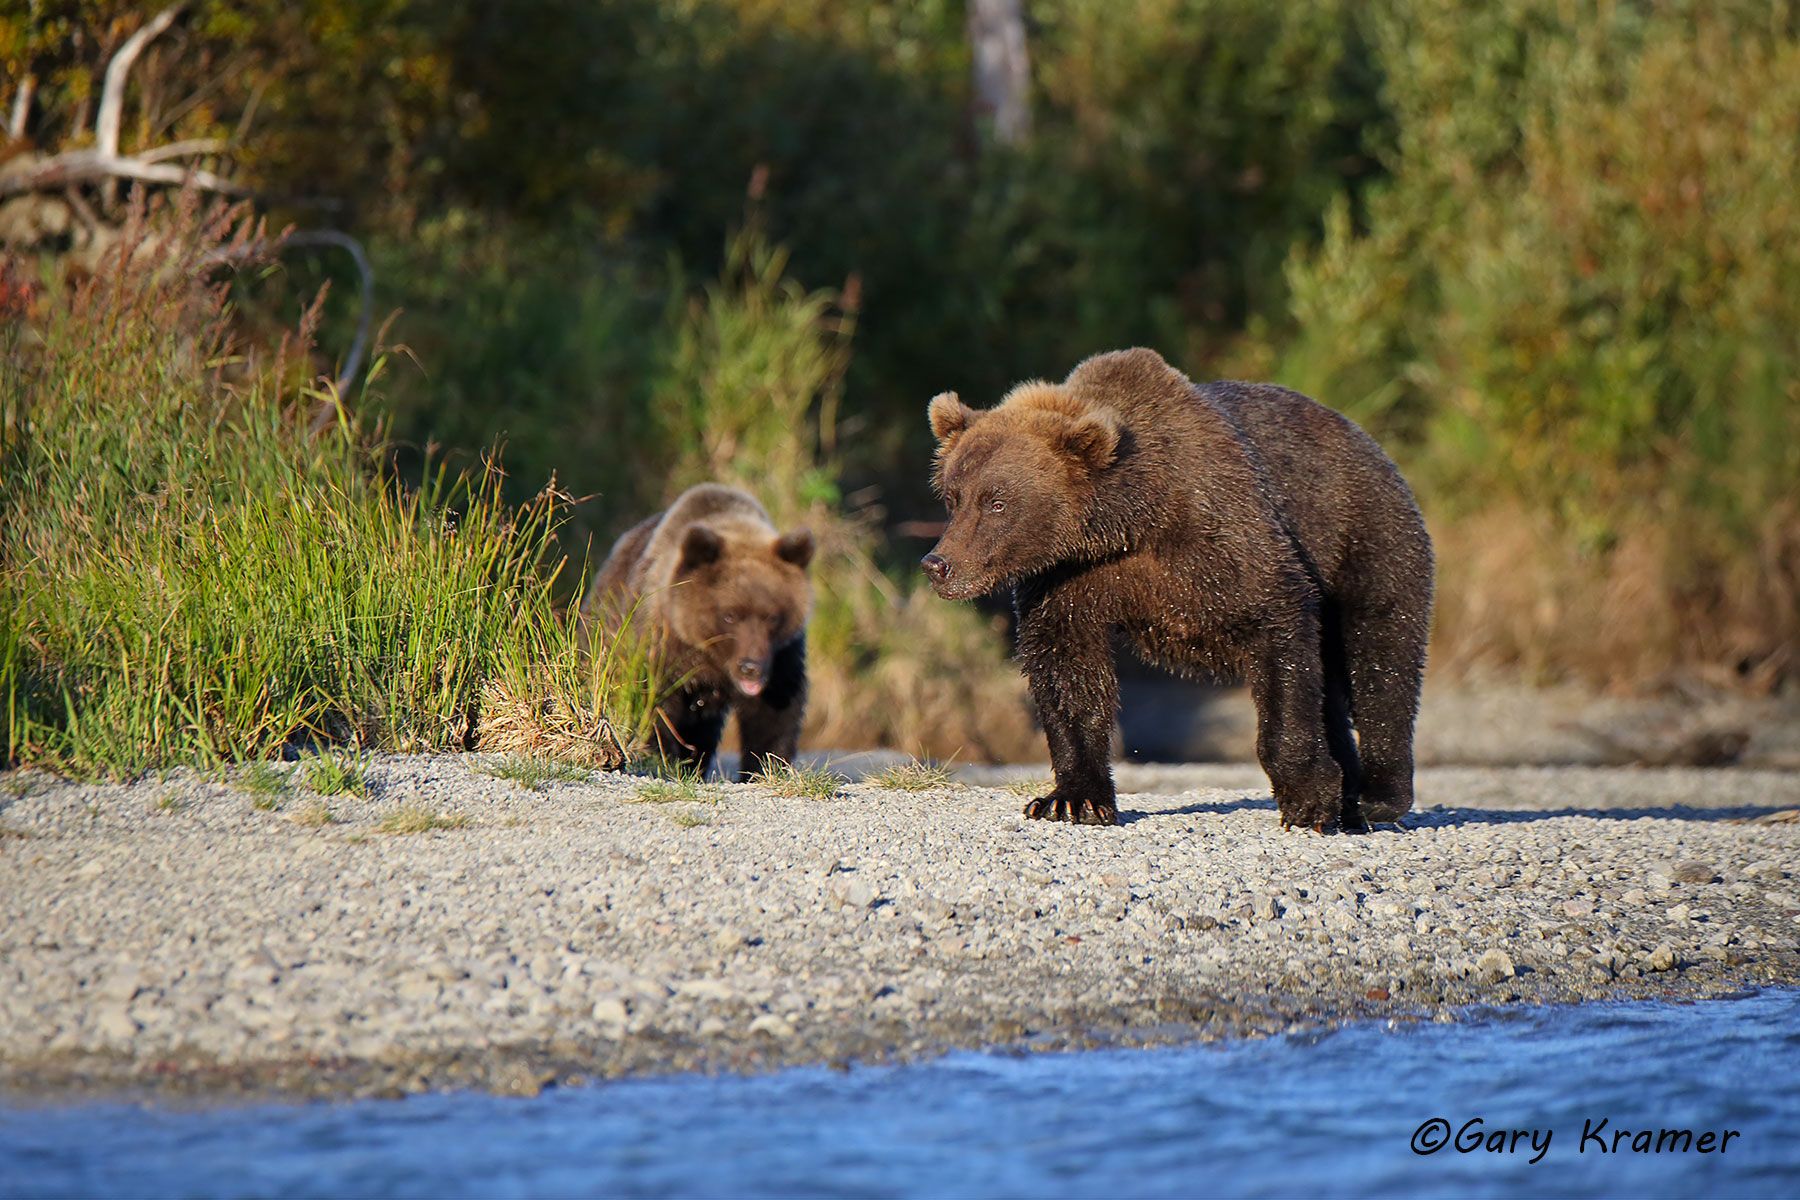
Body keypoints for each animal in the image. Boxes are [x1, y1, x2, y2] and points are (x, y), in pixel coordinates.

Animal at [587, 483, 814, 781]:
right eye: (729, 615)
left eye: (772, 616)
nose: (750, 668)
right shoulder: (663, 645)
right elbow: (655, 705)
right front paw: (666, 761)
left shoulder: (781, 656)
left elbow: (775, 712)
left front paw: (764, 767)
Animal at [922, 348, 1433, 831]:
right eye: (953, 497)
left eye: (997, 502)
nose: (938, 564)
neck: (1130, 522)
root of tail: (1366, 439)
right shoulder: (1067, 580)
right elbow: (1067, 671)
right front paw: (1071, 799)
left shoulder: (1228, 541)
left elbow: (1280, 632)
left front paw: (1308, 800)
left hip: (1366, 536)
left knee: (1380, 653)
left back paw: (1376, 795)